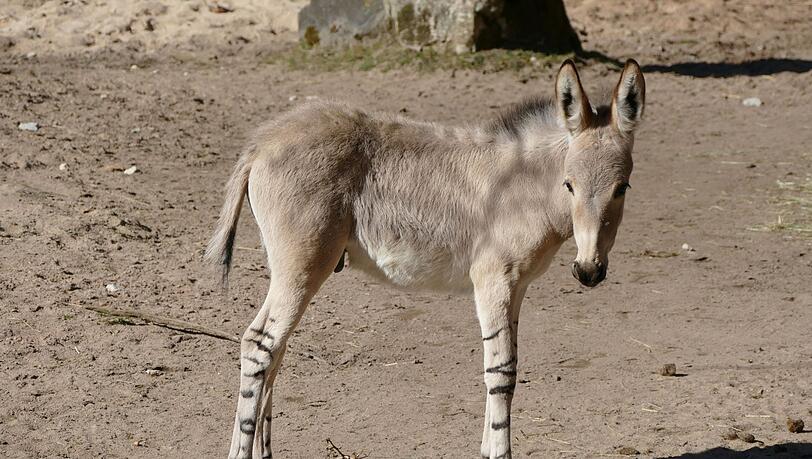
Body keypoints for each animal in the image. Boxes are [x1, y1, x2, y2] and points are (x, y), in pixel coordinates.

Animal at [208, 59, 648, 458]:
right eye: (569, 185)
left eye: (622, 187)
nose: (588, 271)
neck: (527, 190)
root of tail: (265, 141)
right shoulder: (494, 282)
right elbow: (502, 372)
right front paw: (499, 451)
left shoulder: (517, 287)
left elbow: (504, 367)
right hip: (301, 267)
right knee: (258, 344)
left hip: (286, 269)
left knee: (275, 351)